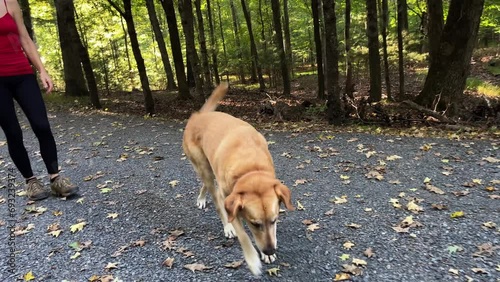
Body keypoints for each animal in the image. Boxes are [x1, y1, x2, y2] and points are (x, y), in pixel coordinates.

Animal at [183, 83, 292, 276]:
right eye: (254, 224)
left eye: (274, 220)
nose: (269, 250)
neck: (250, 168)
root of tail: (198, 116)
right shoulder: (230, 203)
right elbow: (243, 235)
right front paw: (253, 260)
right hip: (204, 168)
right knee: (214, 196)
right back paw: (225, 224)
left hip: (209, 167)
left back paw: (202, 198)